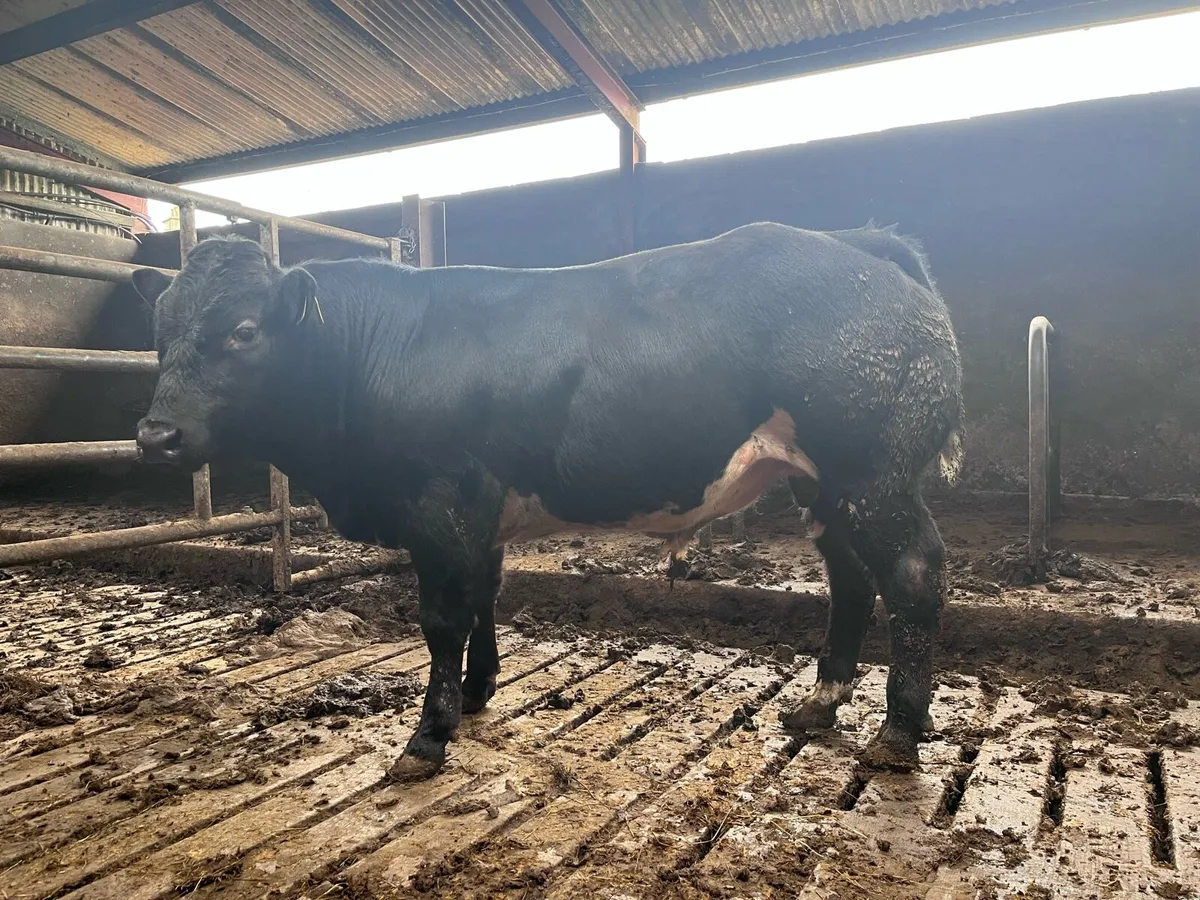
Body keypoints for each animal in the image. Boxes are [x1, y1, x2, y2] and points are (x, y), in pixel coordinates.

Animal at [131, 222, 964, 778]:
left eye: (243, 330)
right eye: (159, 330)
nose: (156, 434)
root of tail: (859, 244)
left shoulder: (441, 503)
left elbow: (442, 620)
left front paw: (427, 737)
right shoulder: (480, 515)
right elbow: (483, 601)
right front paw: (476, 693)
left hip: (874, 476)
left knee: (913, 575)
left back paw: (898, 732)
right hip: (822, 483)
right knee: (851, 581)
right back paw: (820, 703)